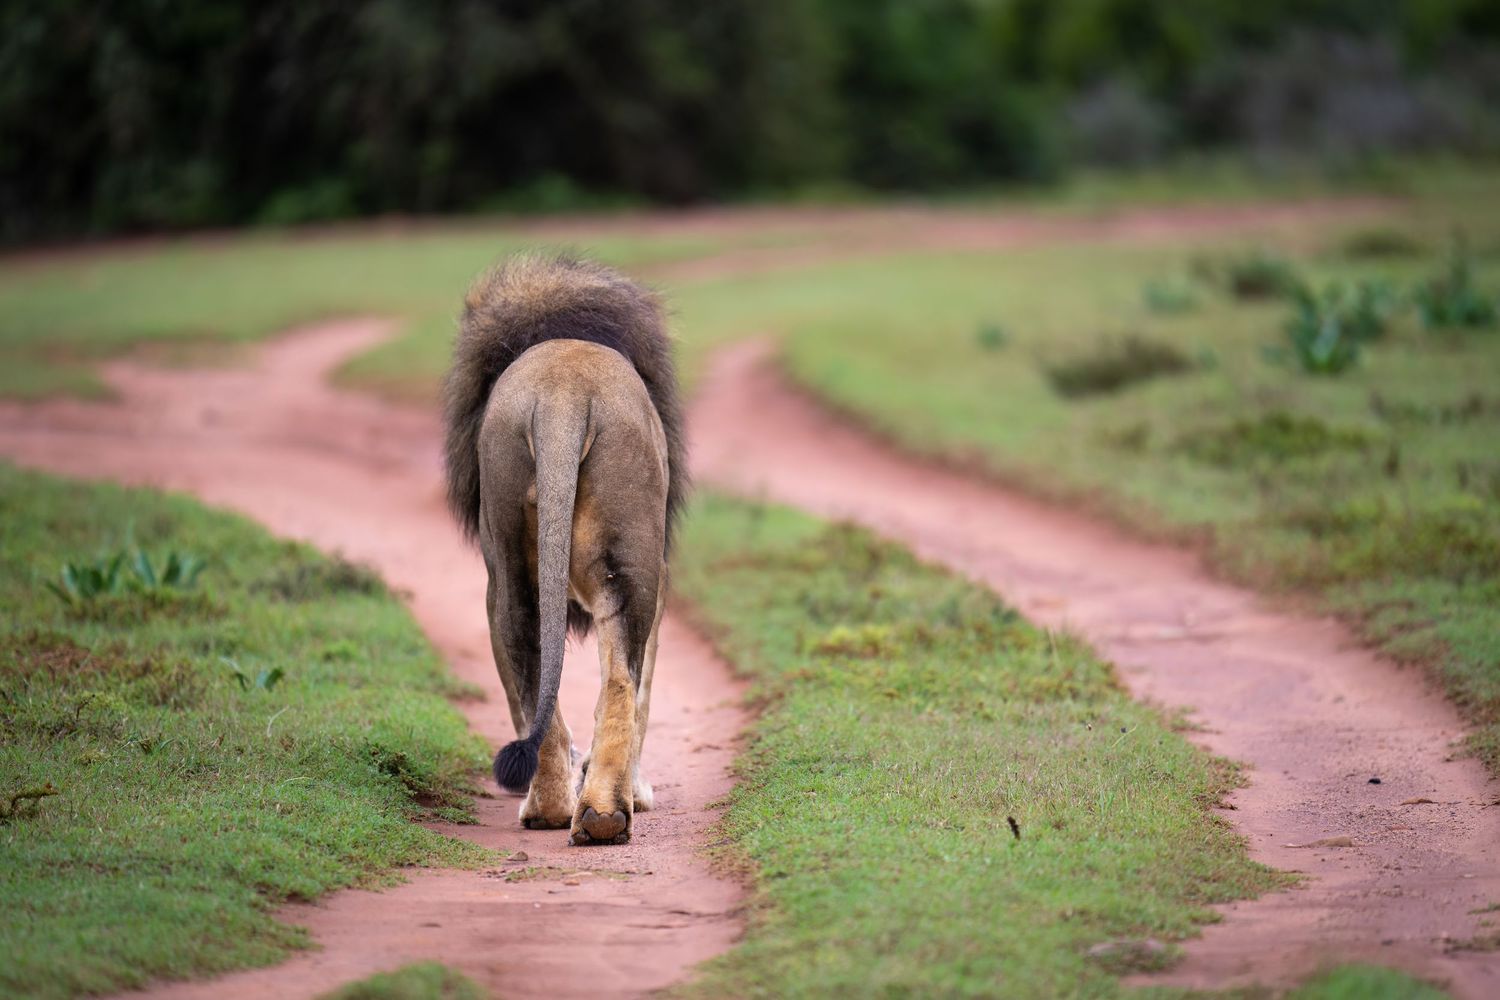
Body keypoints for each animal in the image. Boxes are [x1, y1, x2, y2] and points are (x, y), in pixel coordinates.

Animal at [442, 253, 686, 845]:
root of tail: (562, 395)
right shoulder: (662, 581)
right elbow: (645, 692)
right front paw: (639, 791)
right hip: (624, 572)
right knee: (617, 683)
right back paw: (590, 811)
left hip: (512, 576)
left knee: (545, 680)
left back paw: (570, 811)